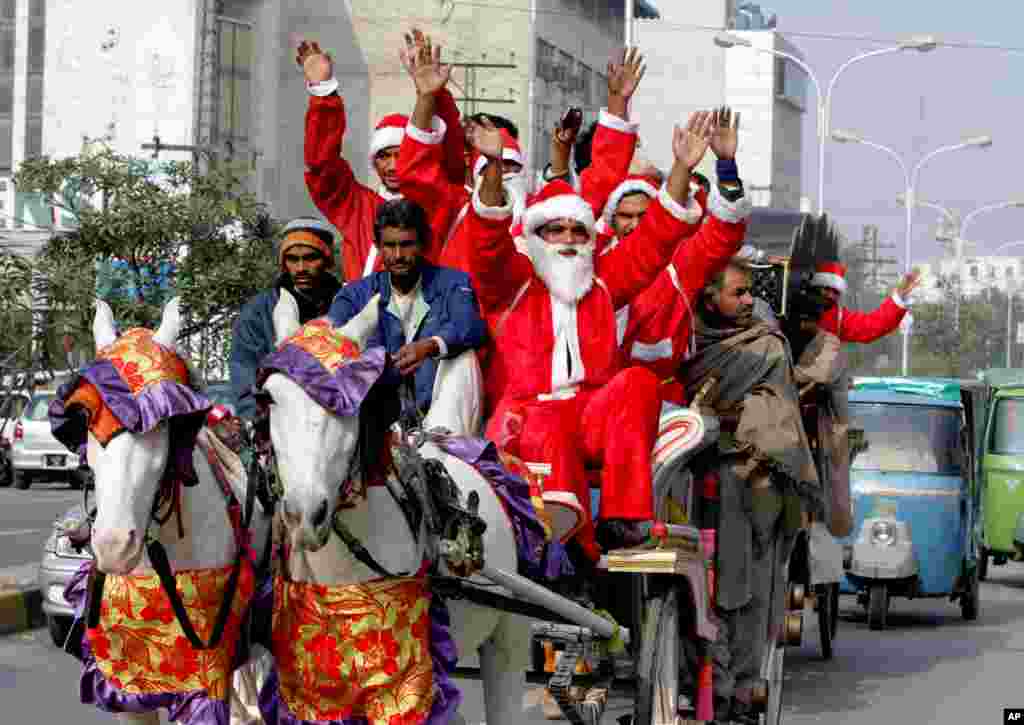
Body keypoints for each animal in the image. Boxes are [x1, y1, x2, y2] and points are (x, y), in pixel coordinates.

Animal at [260, 288, 532, 724]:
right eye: (268, 397)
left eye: (358, 402)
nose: (305, 515)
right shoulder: (314, 692)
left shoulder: (403, 687)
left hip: (509, 635)